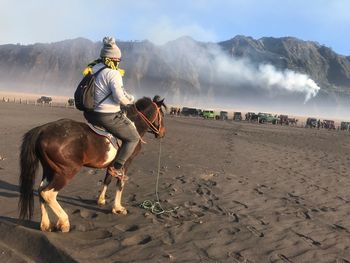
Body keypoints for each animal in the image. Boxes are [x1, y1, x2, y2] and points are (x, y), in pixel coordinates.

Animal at [18, 96, 166, 233]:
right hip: (66, 172)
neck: (134, 124)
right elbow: (120, 184)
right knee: (48, 193)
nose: (163, 133)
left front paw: (101, 200)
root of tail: (43, 129)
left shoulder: (112, 165)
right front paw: (118, 208)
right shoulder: (126, 163)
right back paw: (64, 222)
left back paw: (46, 224)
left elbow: (107, 180)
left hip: (49, 170)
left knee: (40, 190)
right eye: (162, 115)